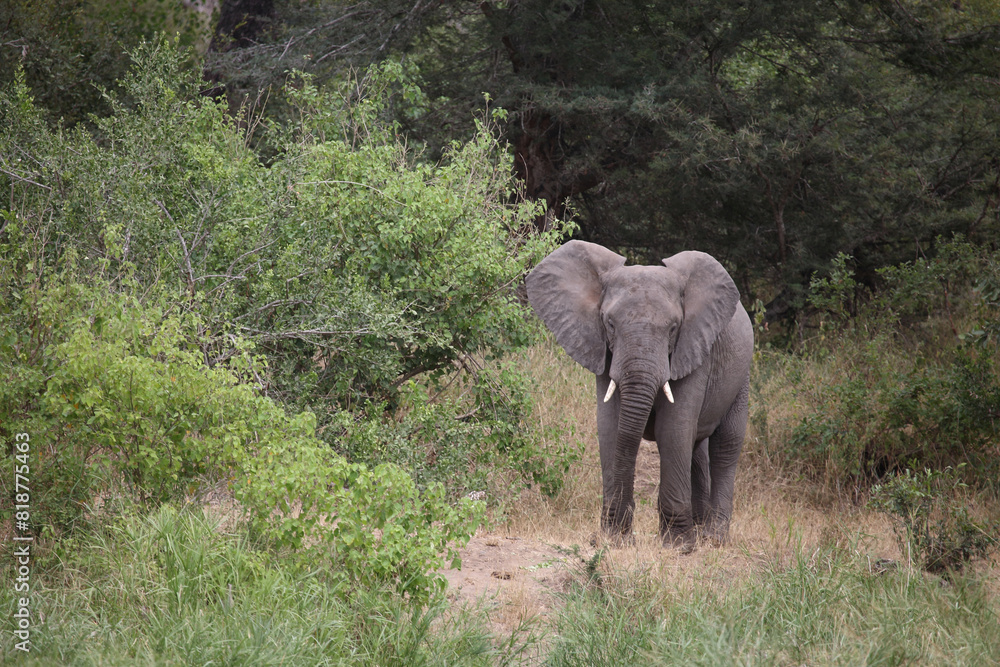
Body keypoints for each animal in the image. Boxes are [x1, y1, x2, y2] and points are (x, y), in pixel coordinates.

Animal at [526, 240, 753, 550]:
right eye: (609, 323)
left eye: (673, 328)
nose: (615, 533)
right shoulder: (604, 351)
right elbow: (610, 427)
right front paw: (614, 539)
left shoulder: (692, 347)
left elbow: (673, 429)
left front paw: (677, 547)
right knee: (696, 449)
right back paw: (698, 529)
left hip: (742, 375)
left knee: (726, 445)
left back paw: (712, 538)